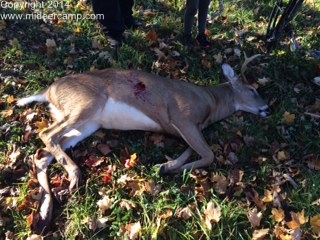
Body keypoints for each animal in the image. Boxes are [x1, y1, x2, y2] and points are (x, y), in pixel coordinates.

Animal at [15, 61, 270, 232]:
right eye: (252, 90)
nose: (267, 108)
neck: (210, 103)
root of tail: (48, 91)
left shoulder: (185, 129)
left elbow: (193, 151)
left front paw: (166, 166)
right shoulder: (182, 116)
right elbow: (209, 155)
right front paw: (169, 168)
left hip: (89, 124)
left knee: (43, 154)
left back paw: (45, 213)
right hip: (84, 104)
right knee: (46, 134)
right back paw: (75, 175)